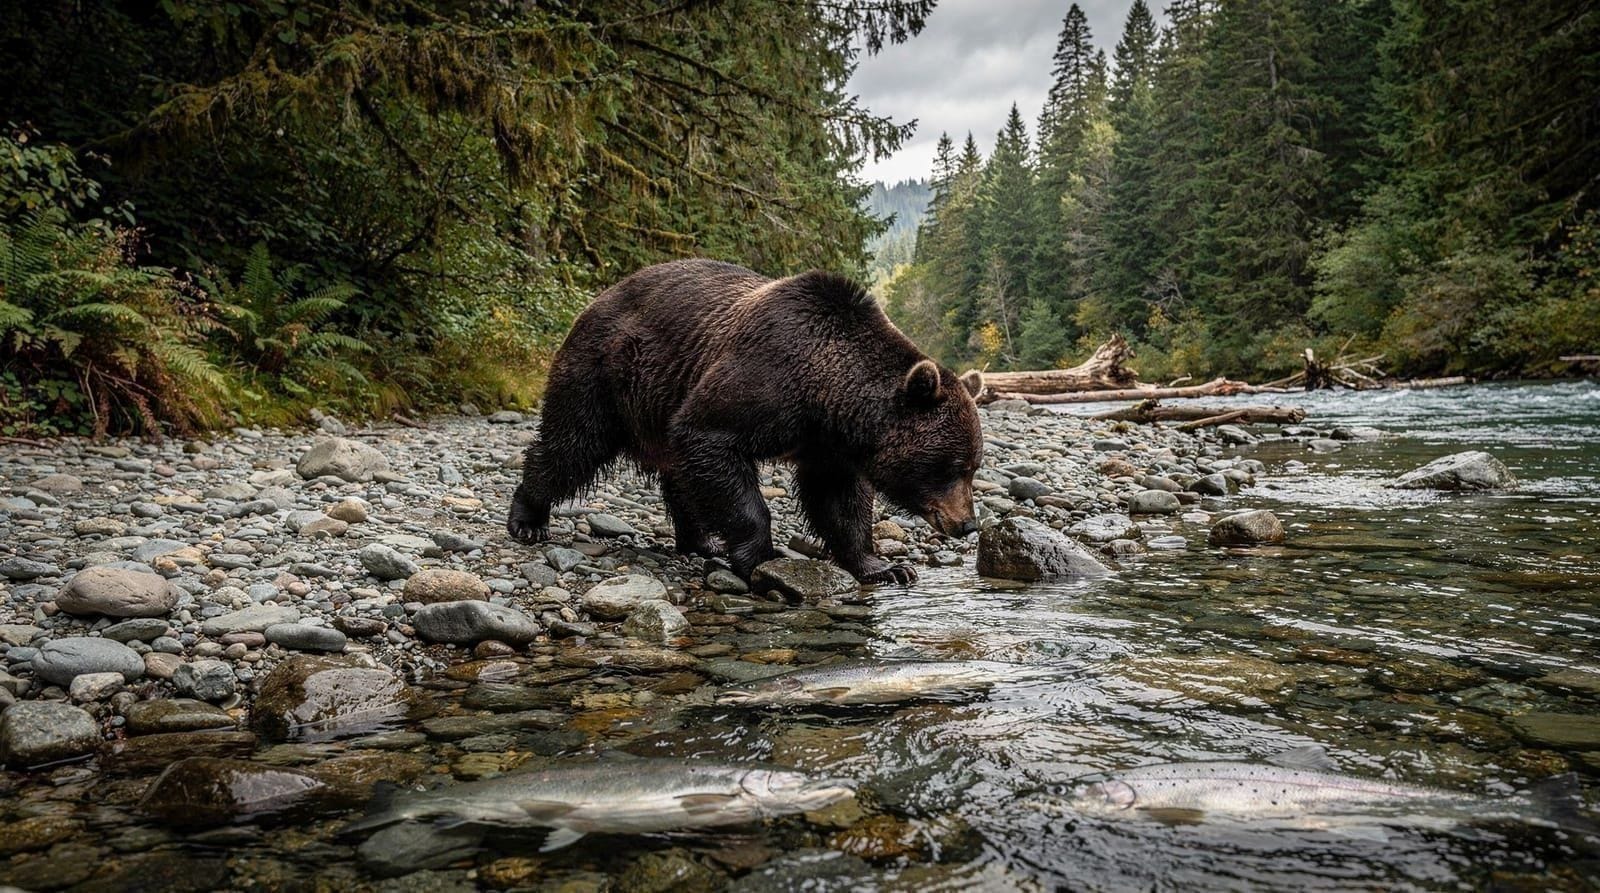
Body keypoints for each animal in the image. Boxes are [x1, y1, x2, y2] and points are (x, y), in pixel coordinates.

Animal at [507, 258, 983, 584]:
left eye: (973, 467)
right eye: (953, 467)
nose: (967, 523)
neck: (826, 395)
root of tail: (597, 299)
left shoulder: (828, 445)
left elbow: (840, 502)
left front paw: (883, 566)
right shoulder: (763, 378)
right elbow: (711, 441)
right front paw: (759, 555)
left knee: (677, 475)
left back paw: (700, 540)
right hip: (605, 374)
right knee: (572, 444)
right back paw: (528, 519)